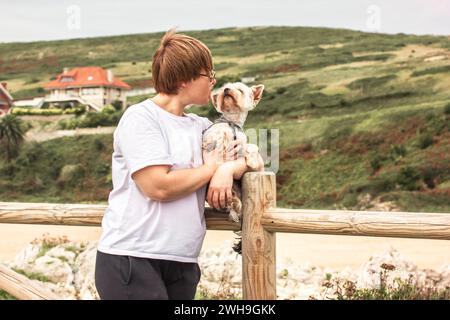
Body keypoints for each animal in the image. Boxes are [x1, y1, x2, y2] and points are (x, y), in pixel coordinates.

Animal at [203, 82, 264, 252]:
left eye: (240, 89)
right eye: (223, 87)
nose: (226, 90)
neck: (231, 122)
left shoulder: (241, 143)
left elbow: (251, 147)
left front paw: (252, 161)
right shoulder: (214, 136)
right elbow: (218, 140)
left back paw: (235, 203)